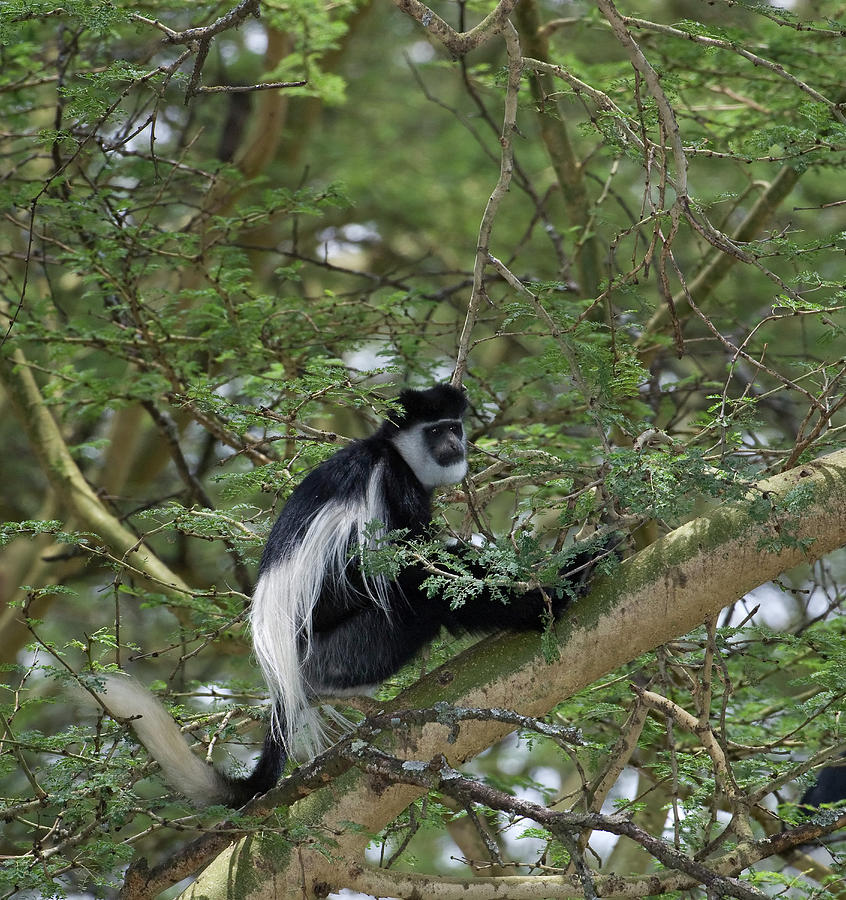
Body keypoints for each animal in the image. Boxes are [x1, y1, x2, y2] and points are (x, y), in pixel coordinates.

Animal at [96, 384, 600, 804]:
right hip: (339, 651)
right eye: (436, 431)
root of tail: (285, 675)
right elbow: (415, 569)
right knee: (413, 601)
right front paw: (553, 579)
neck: (389, 451)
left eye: (454, 427)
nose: (454, 446)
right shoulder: (394, 486)